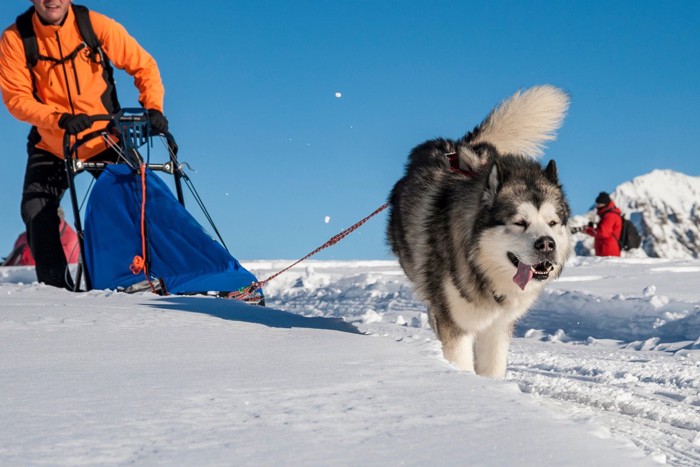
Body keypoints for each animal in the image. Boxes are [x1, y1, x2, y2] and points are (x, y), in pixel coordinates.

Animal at [388, 86, 576, 378]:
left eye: (553, 223)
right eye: (519, 222)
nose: (546, 244)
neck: (483, 270)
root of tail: (458, 147)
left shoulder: (498, 330)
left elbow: (492, 368)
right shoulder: (456, 325)